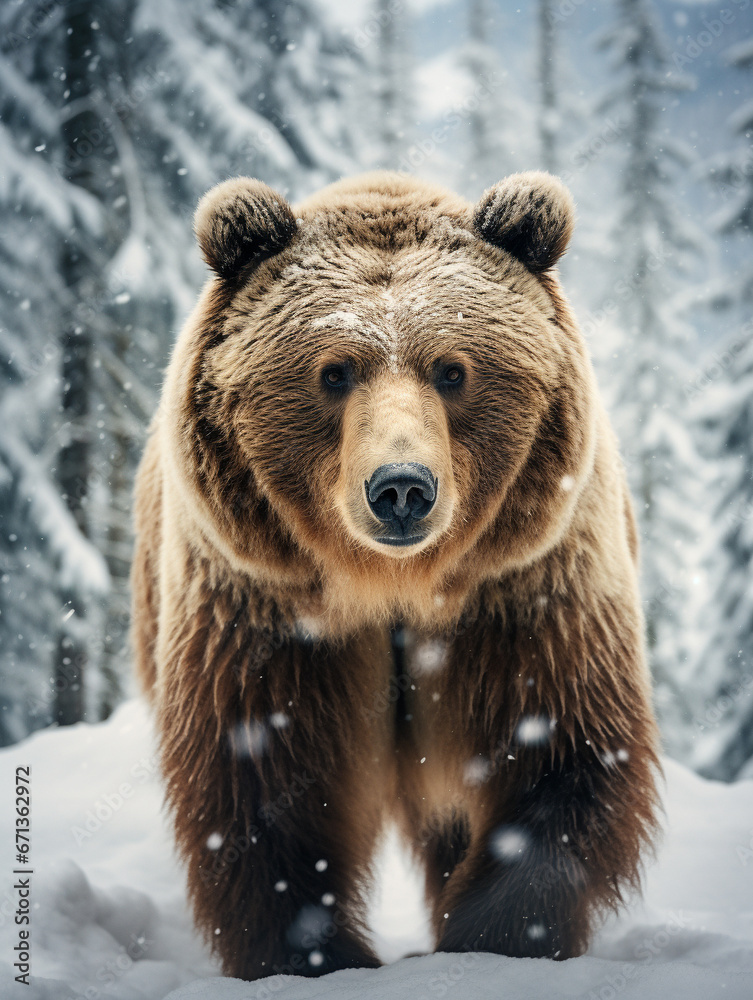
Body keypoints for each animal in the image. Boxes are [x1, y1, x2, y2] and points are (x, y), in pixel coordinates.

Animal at [131, 170, 660, 982]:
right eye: (333, 371)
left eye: (453, 370)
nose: (403, 487)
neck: (393, 587)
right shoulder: (265, 608)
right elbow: (266, 785)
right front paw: (312, 955)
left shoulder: (524, 592)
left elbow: (558, 755)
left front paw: (492, 939)